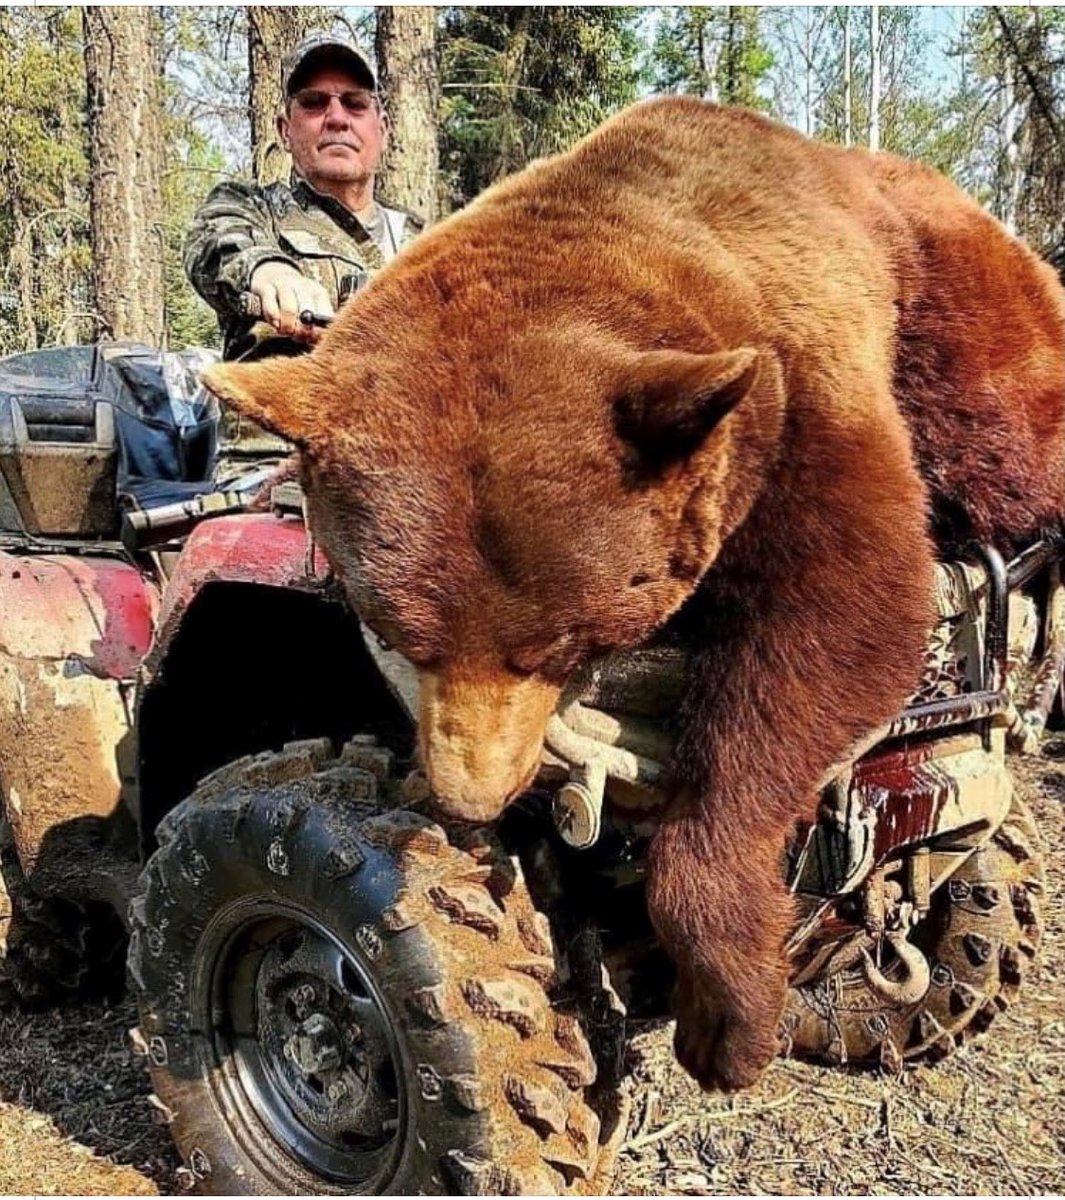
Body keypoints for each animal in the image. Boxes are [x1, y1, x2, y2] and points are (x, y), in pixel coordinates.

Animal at [205, 97, 1065, 1093]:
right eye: (402, 636)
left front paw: (724, 1019)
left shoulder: (801, 392)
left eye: (556, 648)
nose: (471, 796)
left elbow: (847, 614)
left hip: (972, 331)